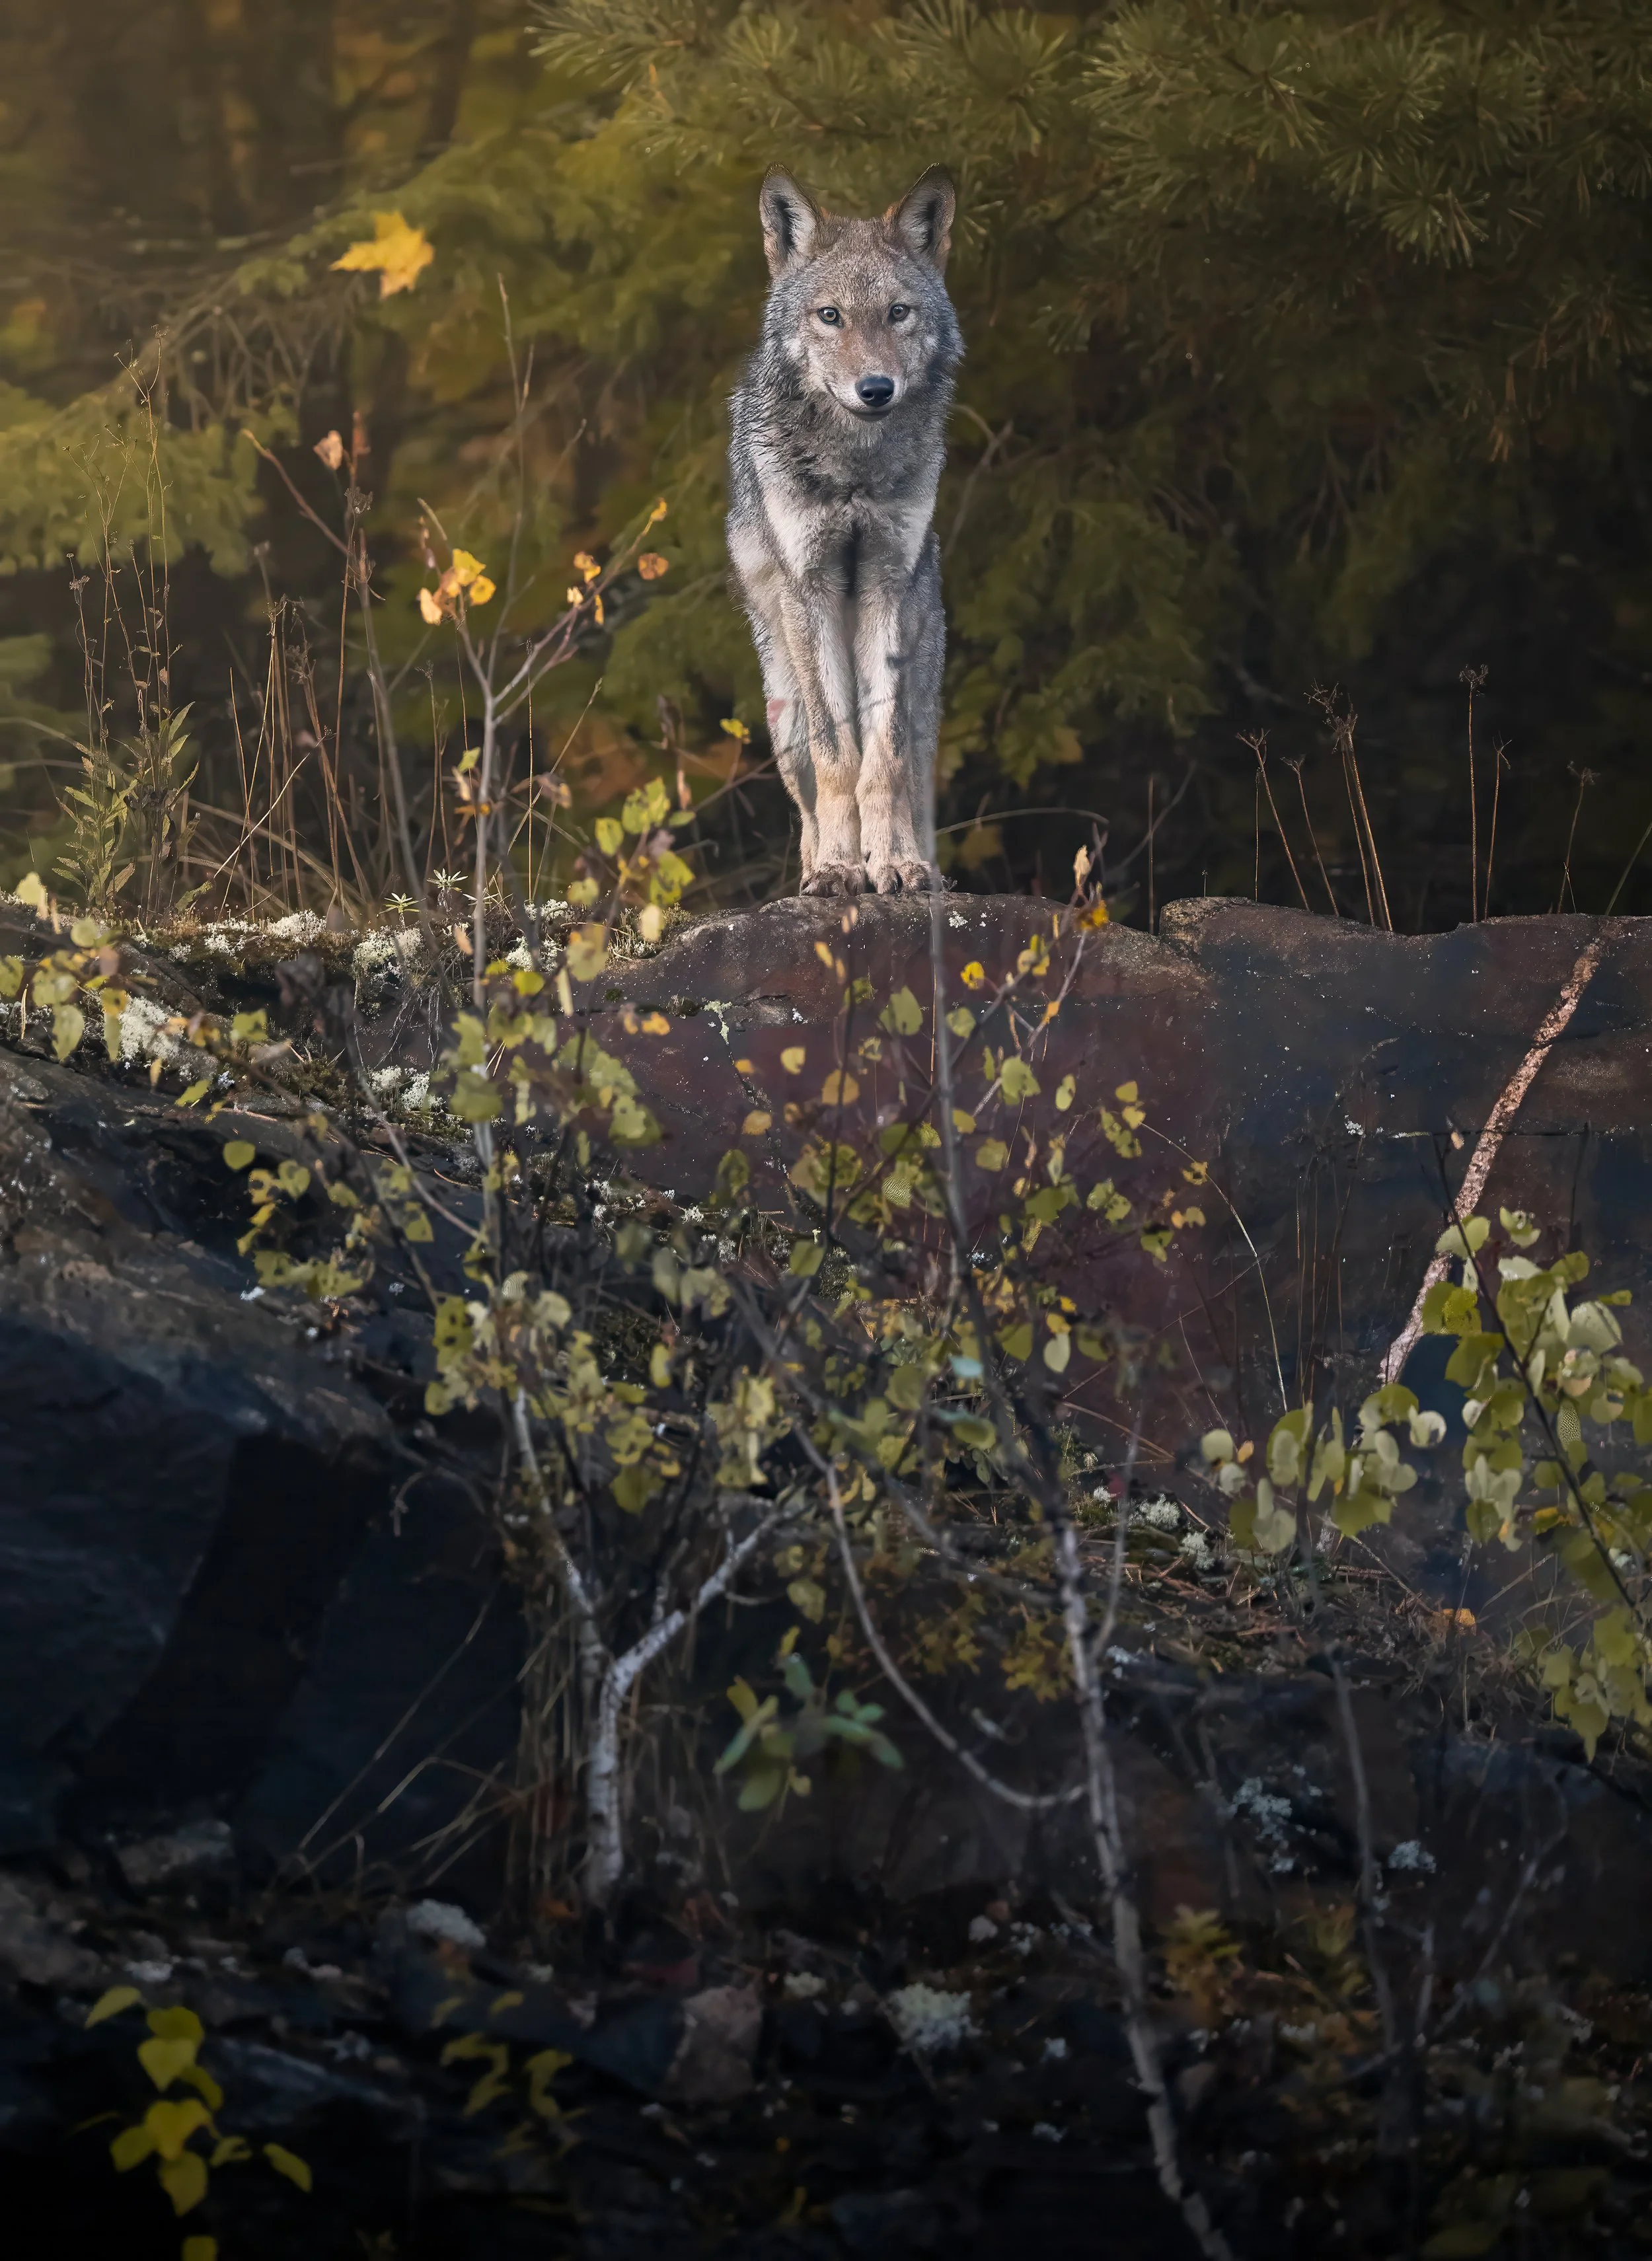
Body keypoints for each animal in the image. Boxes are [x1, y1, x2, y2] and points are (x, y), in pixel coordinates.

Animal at [727, 165, 963, 897]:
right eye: (830, 316)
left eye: (898, 313)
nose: (876, 388)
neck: (856, 470)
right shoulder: (812, 589)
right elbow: (840, 760)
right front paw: (839, 867)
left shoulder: (888, 583)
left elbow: (880, 761)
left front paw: (893, 864)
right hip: (784, 714)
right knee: (807, 798)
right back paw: (818, 863)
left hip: (924, 696)